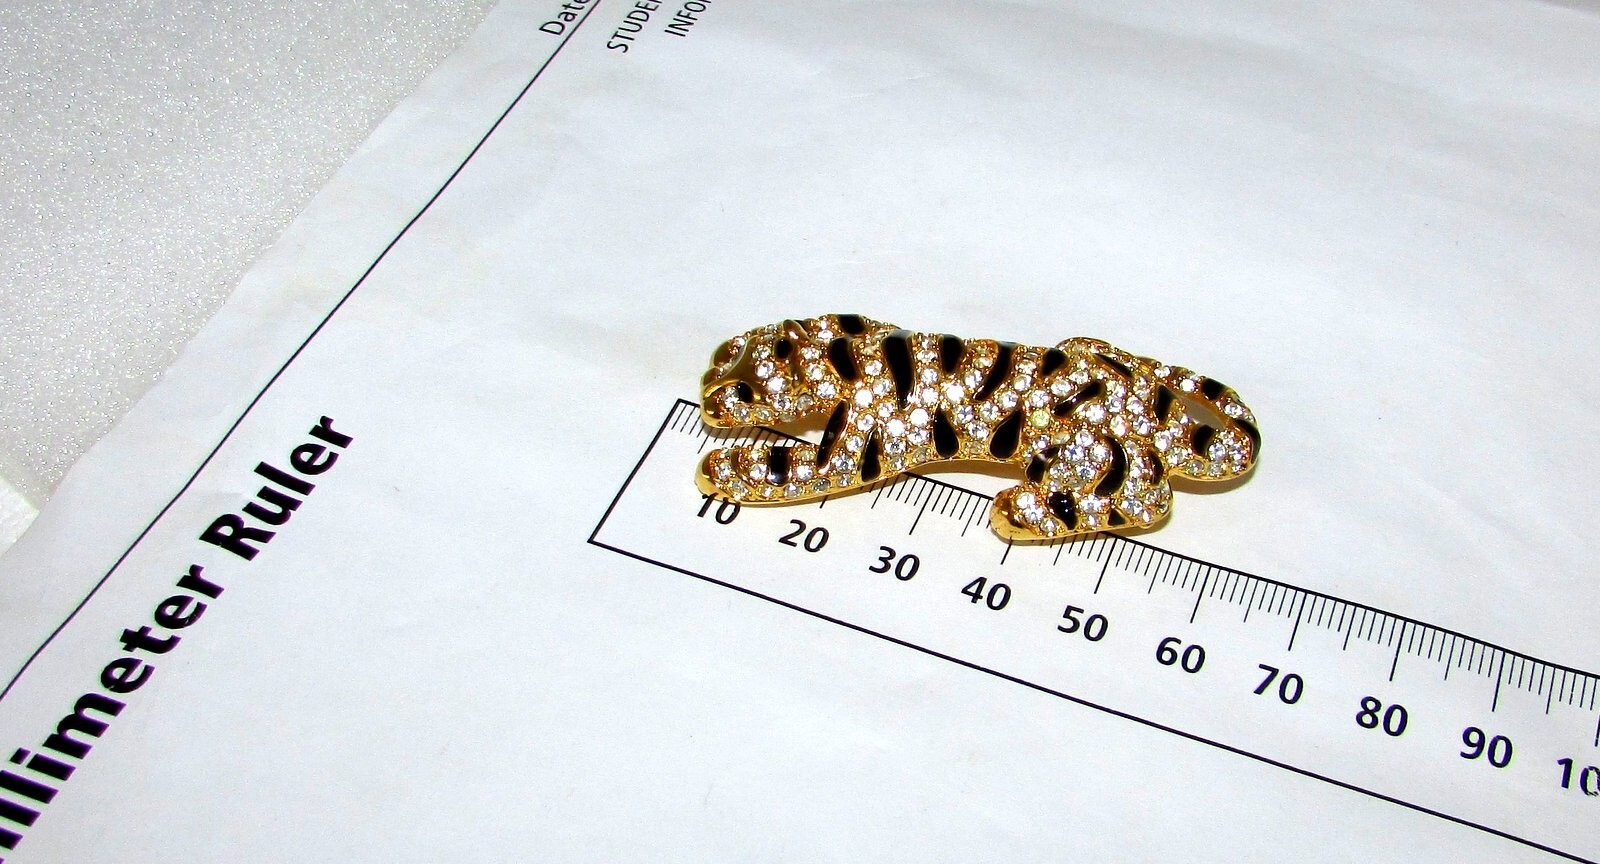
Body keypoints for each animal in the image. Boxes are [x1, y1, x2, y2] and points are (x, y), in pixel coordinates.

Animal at [695, 314, 1260, 542]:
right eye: (725, 354)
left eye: (744, 388)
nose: (705, 393)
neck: (854, 358)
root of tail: (1164, 412)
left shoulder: (863, 447)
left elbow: (791, 466)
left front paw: (725, 466)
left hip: (1091, 453)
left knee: (1151, 500)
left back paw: (1024, 510)